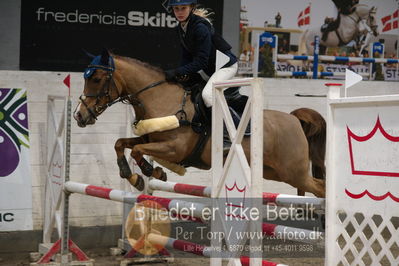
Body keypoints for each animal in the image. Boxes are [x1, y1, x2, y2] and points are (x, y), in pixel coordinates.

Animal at [75, 50, 328, 197]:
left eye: (96, 79)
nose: (79, 116)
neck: (160, 97)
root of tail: (295, 119)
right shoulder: (149, 137)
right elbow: (121, 143)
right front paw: (133, 175)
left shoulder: (174, 149)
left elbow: (137, 150)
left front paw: (150, 172)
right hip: (273, 171)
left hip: (292, 172)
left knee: (321, 188)